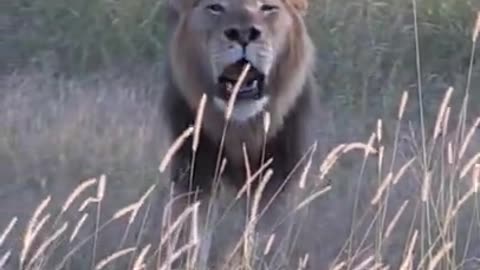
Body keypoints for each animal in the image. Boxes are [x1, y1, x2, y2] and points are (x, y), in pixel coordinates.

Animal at [162, 0, 322, 268]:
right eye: (215, 7)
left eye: (267, 7)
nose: (244, 34)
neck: (242, 131)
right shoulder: (194, 171)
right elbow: (191, 237)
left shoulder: (277, 179)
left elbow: (261, 237)